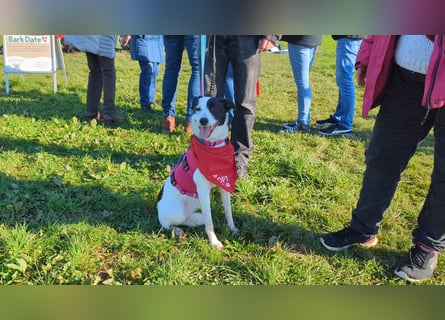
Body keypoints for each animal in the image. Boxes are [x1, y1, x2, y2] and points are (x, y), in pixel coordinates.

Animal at [157, 96, 238, 249]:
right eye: (198, 109)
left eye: (214, 109)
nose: (203, 121)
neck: (212, 146)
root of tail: (157, 206)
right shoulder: (203, 191)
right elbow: (209, 222)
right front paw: (214, 242)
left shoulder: (224, 185)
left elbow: (228, 211)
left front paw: (232, 228)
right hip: (177, 211)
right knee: (166, 224)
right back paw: (176, 230)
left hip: (193, 212)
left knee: (190, 220)